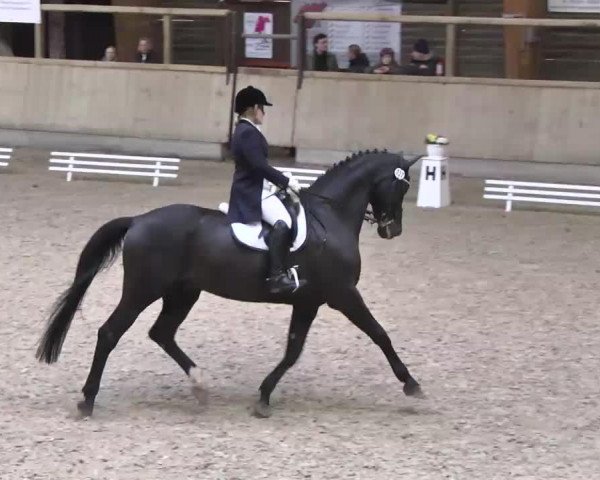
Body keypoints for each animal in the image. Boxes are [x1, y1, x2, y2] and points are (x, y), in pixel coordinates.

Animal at [35, 149, 424, 416]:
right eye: (402, 186)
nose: (393, 229)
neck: (330, 217)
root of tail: (138, 220)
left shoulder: (308, 301)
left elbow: (293, 350)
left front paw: (264, 396)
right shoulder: (343, 294)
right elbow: (380, 334)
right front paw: (411, 384)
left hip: (183, 293)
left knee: (161, 333)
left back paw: (199, 386)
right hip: (143, 290)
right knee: (110, 333)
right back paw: (87, 400)